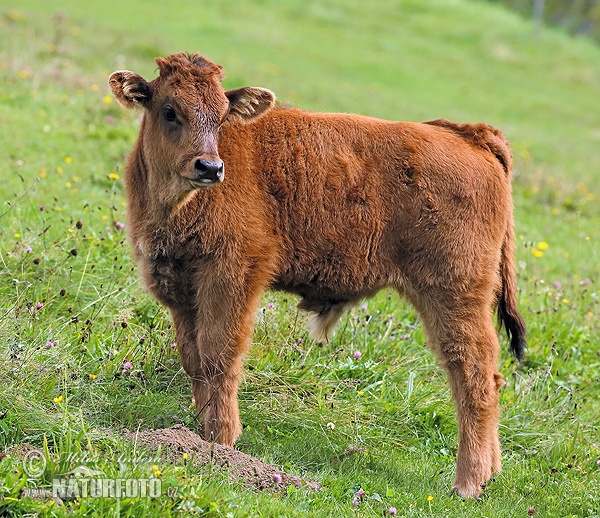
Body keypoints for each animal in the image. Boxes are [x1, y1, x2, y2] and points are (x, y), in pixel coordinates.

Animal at [111, 52, 524, 500]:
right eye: (169, 111)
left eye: (221, 117)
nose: (210, 167)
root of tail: (471, 136)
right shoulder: (182, 289)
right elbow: (194, 358)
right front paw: (197, 432)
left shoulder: (232, 277)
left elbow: (220, 355)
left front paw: (221, 440)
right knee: (488, 376)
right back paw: (490, 473)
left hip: (453, 295)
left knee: (473, 374)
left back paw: (467, 483)